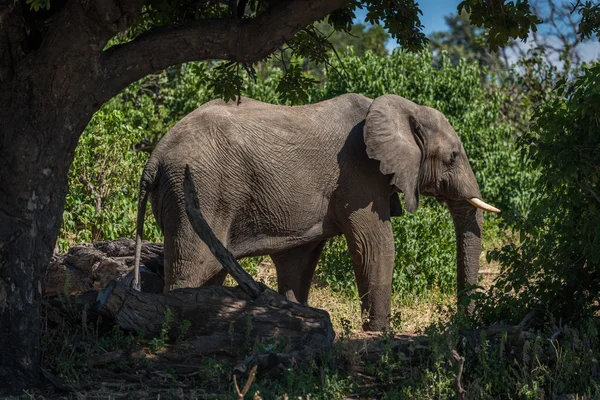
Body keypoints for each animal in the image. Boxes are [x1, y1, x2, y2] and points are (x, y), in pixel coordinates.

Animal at [134, 94, 500, 332]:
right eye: (452, 157)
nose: (461, 322)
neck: (400, 108)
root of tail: (155, 155)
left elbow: (299, 259)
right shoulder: (358, 173)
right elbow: (375, 244)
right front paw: (380, 332)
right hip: (197, 188)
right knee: (193, 266)